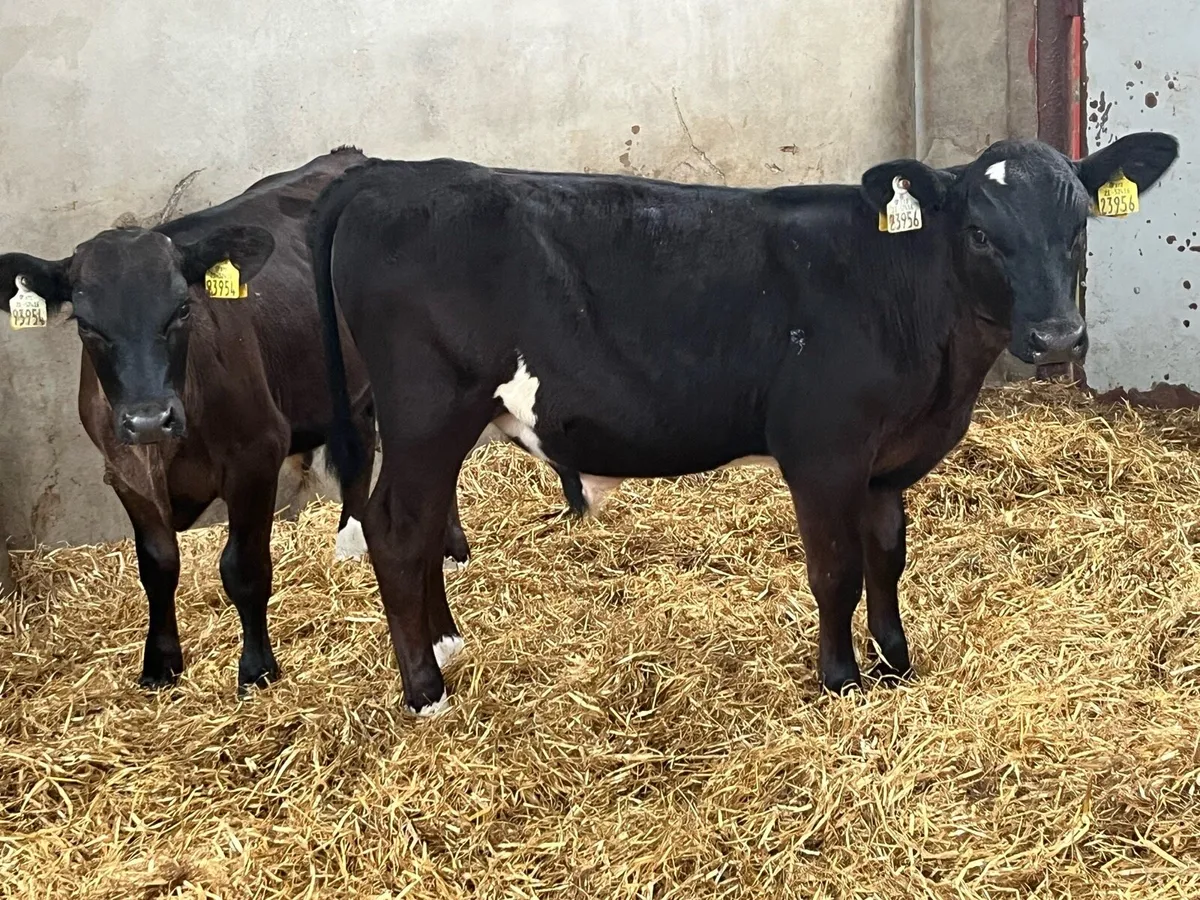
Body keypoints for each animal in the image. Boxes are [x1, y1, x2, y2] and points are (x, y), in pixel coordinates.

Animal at [0, 146, 496, 693]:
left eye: (182, 309)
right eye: (86, 326)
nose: (150, 419)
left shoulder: (255, 457)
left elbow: (243, 567)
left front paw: (258, 666)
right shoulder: (124, 471)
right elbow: (157, 566)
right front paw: (161, 662)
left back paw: (450, 546)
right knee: (364, 448)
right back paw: (352, 539)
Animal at [309, 133, 1179, 715]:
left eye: (1079, 227)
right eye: (979, 231)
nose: (1058, 337)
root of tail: (388, 174)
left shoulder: (883, 462)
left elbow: (888, 559)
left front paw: (896, 666)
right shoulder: (823, 452)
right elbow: (837, 571)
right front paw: (841, 680)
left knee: (419, 528)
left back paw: (446, 646)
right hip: (427, 410)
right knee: (398, 530)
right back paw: (425, 690)